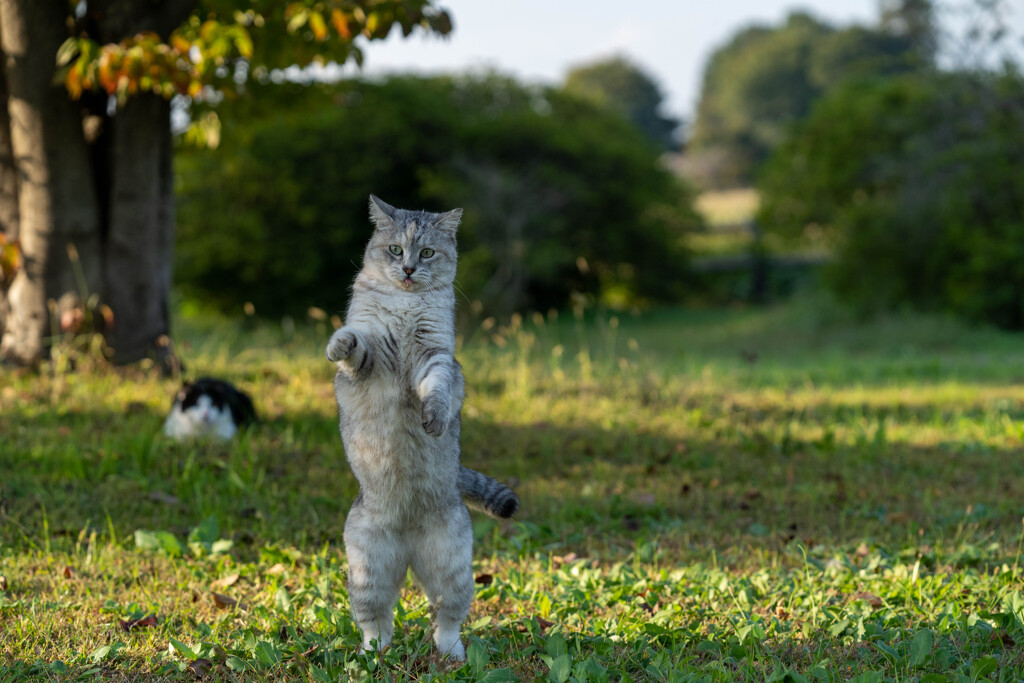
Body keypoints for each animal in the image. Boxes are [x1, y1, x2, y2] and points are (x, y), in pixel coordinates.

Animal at [329, 194, 520, 659]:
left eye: (428, 252)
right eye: (396, 250)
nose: (410, 269)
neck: (405, 304)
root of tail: (409, 546)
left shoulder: (435, 357)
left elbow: (437, 391)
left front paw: (433, 419)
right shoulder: (371, 357)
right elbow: (354, 343)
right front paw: (338, 342)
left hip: (452, 570)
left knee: (446, 620)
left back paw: (453, 656)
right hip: (368, 574)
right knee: (377, 623)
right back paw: (371, 656)